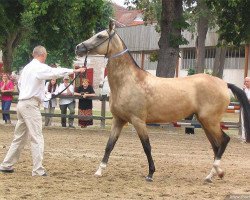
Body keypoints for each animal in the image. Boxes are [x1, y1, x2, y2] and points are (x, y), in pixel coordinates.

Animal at [74, 21, 250, 182]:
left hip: (210, 121)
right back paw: (213, 174)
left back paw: (215, 172)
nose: (78, 47)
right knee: (216, 145)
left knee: (224, 141)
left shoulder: (138, 121)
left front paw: (150, 173)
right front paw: (99, 170)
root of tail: (224, 83)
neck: (128, 81)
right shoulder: (119, 120)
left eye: (100, 36)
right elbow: (109, 145)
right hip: (205, 122)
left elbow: (146, 146)